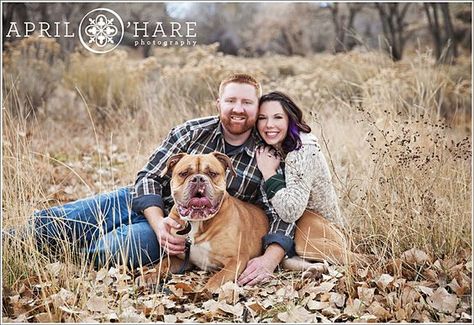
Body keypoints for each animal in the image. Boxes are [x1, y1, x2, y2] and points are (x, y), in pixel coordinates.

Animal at [137, 152, 270, 292]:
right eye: (184, 173)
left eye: (212, 173)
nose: (198, 179)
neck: (197, 222)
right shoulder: (181, 258)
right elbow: (162, 264)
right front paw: (149, 275)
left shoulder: (236, 259)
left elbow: (218, 277)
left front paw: (206, 291)